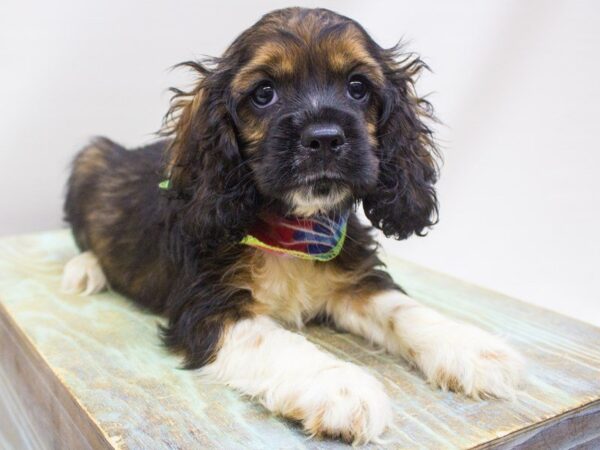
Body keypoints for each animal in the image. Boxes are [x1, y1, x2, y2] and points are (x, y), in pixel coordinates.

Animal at [59, 8, 520, 444]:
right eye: (264, 93)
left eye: (358, 87)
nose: (324, 138)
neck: (293, 229)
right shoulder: (209, 306)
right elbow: (278, 341)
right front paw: (341, 387)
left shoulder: (355, 280)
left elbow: (401, 309)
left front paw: (469, 347)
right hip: (88, 159)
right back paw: (85, 270)